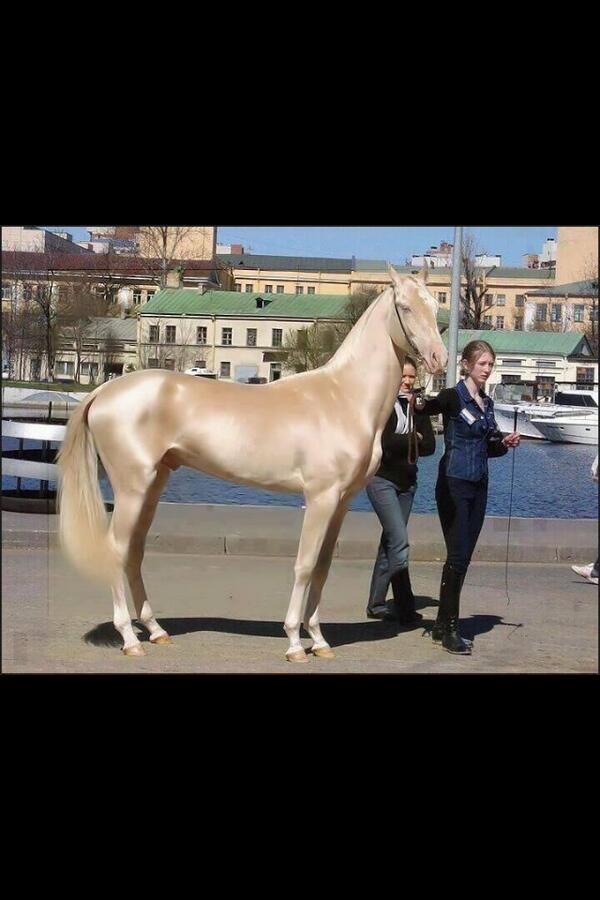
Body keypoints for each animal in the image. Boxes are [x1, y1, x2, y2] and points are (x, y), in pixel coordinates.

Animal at [57, 265, 447, 662]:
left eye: (433, 306)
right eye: (405, 307)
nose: (439, 358)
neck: (343, 397)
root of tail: (103, 392)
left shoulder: (341, 502)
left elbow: (322, 567)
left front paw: (319, 640)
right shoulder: (320, 497)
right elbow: (305, 565)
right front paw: (294, 643)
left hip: (152, 486)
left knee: (134, 552)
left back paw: (155, 631)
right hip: (132, 488)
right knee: (117, 551)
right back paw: (130, 638)